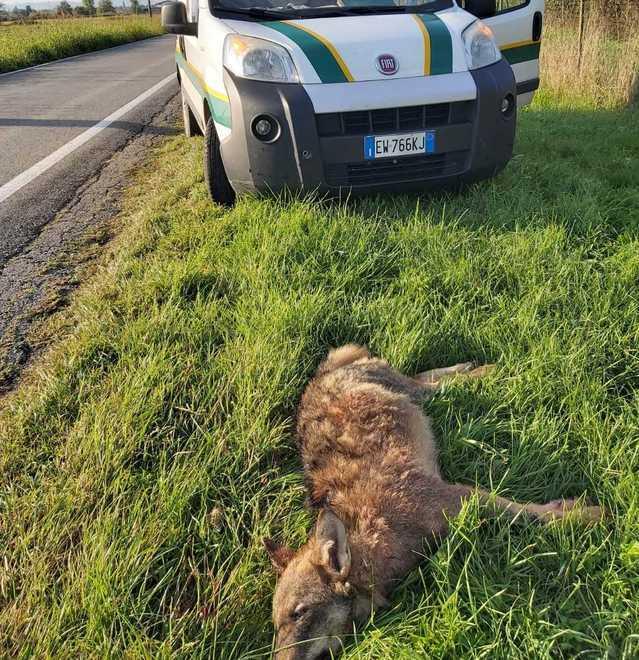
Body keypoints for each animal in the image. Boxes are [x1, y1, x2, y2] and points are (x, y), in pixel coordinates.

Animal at [264, 345, 604, 660]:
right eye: (276, 627)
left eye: (299, 613)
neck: (377, 531)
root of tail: (325, 370)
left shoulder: (460, 496)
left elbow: (531, 513)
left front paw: (586, 514)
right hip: (410, 392)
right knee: (426, 377)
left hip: (413, 392)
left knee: (436, 382)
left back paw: (485, 370)